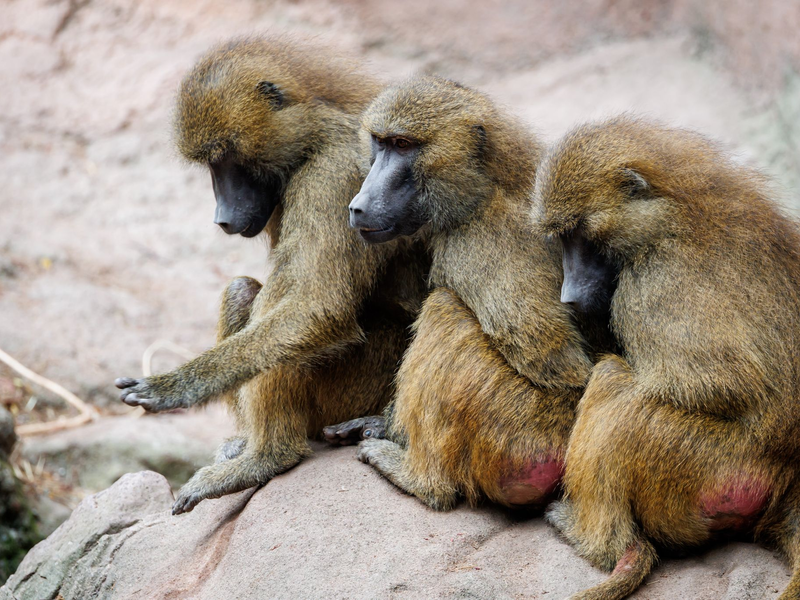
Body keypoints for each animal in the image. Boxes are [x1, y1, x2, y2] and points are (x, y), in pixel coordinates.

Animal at [114, 35, 431, 515]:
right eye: (211, 164)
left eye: (228, 157)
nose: (223, 217)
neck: (314, 135)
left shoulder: (336, 175)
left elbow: (317, 308)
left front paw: (174, 387)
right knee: (242, 291)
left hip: (357, 386)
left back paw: (266, 457)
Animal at [325, 75, 596, 510]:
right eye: (380, 143)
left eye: (404, 145)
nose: (358, 206)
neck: (483, 186)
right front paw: (379, 422)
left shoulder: (480, 241)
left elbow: (560, 367)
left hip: (517, 439)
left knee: (445, 309)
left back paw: (420, 479)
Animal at [534, 115, 800, 600]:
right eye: (562, 238)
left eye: (580, 234)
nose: (569, 296)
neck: (673, 214)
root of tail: (785, 476)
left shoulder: (649, 287)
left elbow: (723, 385)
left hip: (702, 464)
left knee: (616, 387)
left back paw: (602, 542)